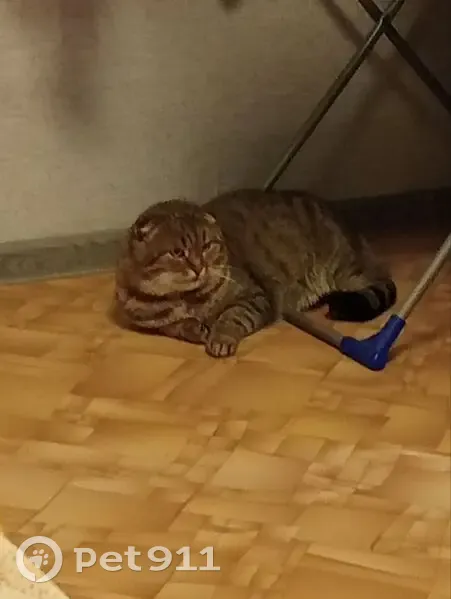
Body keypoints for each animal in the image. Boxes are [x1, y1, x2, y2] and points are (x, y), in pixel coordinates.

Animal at [113, 188, 397, 357]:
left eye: (206, 246)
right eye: (178, 252)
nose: (199, 267)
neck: (186, 298)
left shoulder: (255, 296)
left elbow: (232, 317)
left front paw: (220, 337)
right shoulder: (156, 322)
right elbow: (178, 326)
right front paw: (196, 328)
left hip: (345, 269)